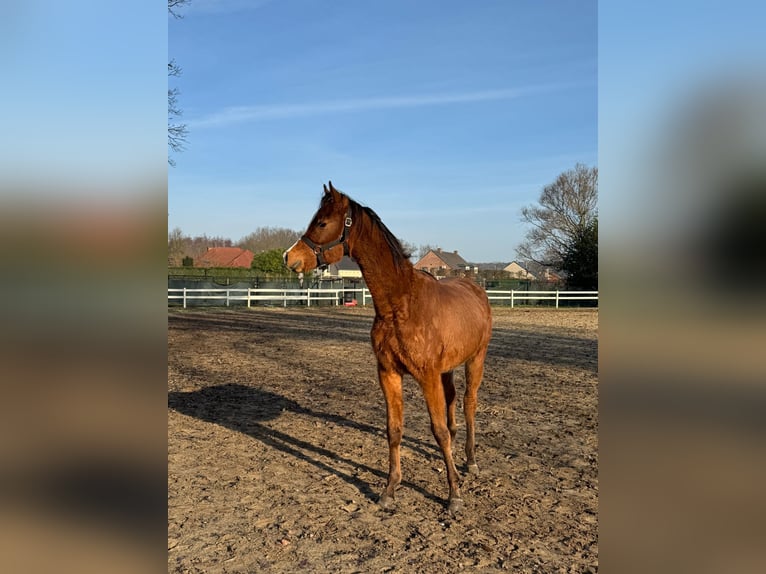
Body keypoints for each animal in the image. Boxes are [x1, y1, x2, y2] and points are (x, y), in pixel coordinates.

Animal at [284, 182, 492, 514]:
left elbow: (437, 430)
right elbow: (394, 430)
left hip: (476, 360)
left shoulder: (426, 377)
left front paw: (454, 494)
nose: (289, 257)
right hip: (447, 370)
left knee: (468, 404)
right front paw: (390, 489)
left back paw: (470, 461)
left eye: (322, 223)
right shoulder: (389, 373)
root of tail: (475, 287)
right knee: (452, 402)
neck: (400, 304)